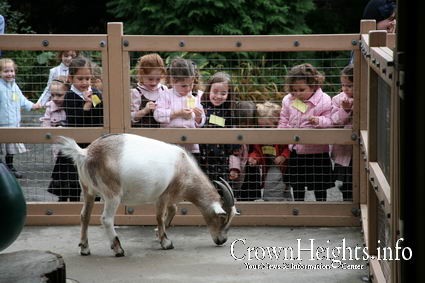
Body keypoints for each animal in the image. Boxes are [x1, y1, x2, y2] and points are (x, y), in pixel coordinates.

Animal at [56, 134, 235, 258]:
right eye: (222, 218)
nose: (222, 240)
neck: (184, 168)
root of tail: (85, 153)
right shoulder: (163, 195)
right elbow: (159, 216)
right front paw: (166, 242)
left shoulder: (169, 196)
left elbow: (173, 210)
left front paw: (158, 234)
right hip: (112, 194)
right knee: (106, 219)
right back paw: (118, 249)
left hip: (87, 190)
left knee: (84, 216)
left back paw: (85, 248)